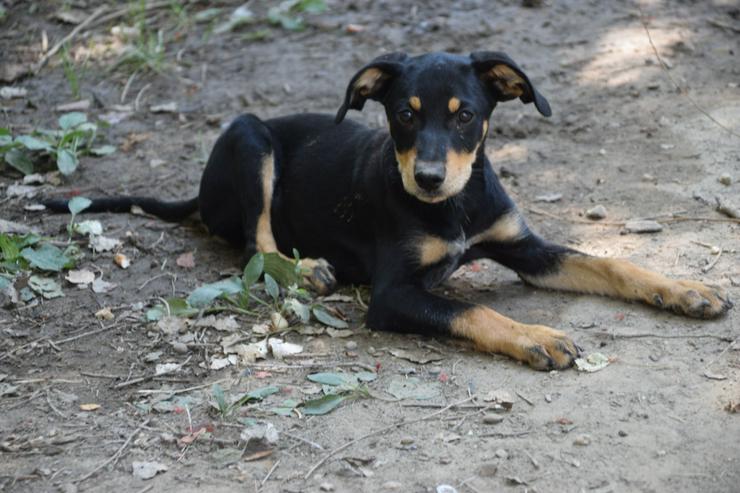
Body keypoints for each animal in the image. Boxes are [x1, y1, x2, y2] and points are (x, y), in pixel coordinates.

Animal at [43, 52, 732, 368]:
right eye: (403, 115)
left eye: (467, 116)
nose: (427, 179)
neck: (456, 207)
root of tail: (200, 191)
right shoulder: (395, 293)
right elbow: (472, 309)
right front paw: (536, 337)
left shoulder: (525, 247)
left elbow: (613, 264)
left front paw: (687, 290)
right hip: (249, 137)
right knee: (255, 244)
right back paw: (308, 269)